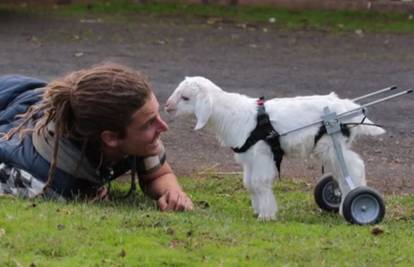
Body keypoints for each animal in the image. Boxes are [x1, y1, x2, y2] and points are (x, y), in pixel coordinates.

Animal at [164, 77, 384, 220]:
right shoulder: (249, 157)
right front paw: (256, 209)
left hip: (331, 142)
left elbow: (259, 182)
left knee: (354, 167)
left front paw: (266, 214)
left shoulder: (262, 153)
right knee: (342, 171)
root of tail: (350, 108)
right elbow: (248, 183)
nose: (167, 107)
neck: (232, 114)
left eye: (185, 98)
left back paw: (356, 202)